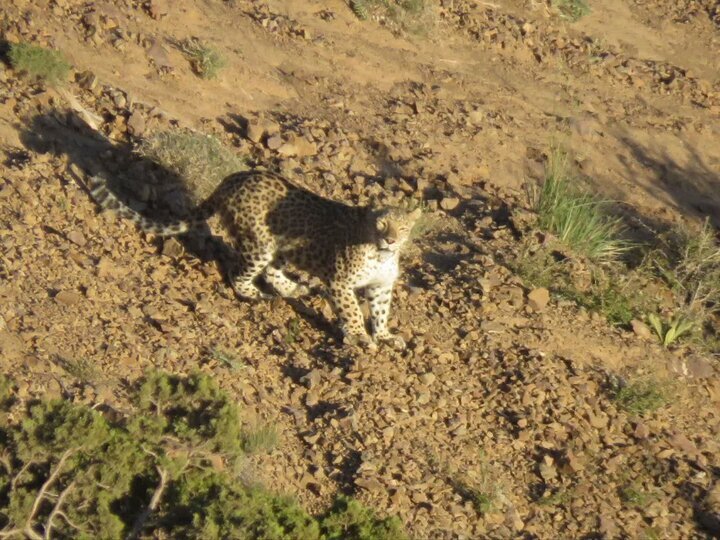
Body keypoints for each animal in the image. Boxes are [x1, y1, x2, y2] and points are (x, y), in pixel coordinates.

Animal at [93, 171, 424, 352]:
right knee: (239, 272)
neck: (381, 255)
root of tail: (234, 178)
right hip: (259, 243)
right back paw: (255, 294)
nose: (390, 240)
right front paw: (359, 336)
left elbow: (380, 312)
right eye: (382, 225)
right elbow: (353, 311)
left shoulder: (381, 286)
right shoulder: (340, 281)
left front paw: (384, 335)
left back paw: (294, 288)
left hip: (280, 246)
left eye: (402, 229)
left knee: (272, 272)